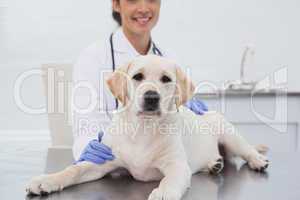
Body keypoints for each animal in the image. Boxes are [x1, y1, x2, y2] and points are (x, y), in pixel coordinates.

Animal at [26, 55, 270, 200]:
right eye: (138, 76)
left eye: (166, 79)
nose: (152, 97)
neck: (143, 129)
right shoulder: (100, 162)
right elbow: (73, 169)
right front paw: (46, 180)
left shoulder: (176, 166)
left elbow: (170, 178)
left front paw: (163, 192)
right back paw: (214, 164)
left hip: (228, 133)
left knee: (247, 150)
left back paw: (257, 160)